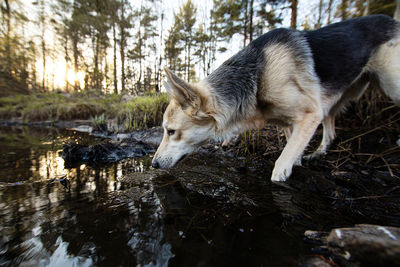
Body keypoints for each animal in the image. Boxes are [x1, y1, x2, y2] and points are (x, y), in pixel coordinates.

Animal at [151, 14, 400, 182]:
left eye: (170, 131)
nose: (153, 164)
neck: (257, 78)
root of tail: (393, 20)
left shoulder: (311, 114)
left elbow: (282, 162)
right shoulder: (292, 122)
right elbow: (293, 146)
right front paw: (299, 159)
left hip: (391, 86)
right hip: (335, 97)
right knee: (330, 129)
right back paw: (320, 151)